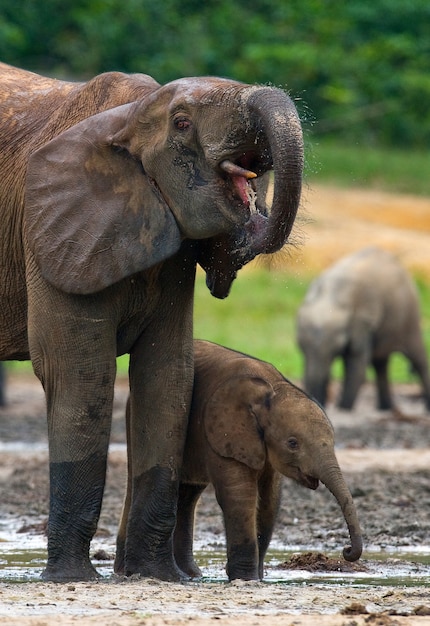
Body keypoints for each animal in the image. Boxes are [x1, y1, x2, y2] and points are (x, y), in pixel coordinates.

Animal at [0, 62, 304, 580]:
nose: (250, 221)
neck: (132, 115)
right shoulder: (50, 234)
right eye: (182, 123)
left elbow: (167, 375)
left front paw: (156, 575)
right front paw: (73, 578)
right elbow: (82, 376)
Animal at [115, 338, 362, 576]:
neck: (273, 388)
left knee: (188, 494)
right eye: (292, 443)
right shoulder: (224, 433)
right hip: (135, 415)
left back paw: (190, 574)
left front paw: (258, 577)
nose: (347, 551)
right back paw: (126, 571)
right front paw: (246, 577)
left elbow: (270, 500)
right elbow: (239, 495)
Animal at [296, 246, 430, 412]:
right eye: (300, 347)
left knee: (418, 359)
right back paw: (385, 408)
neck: (330, 296)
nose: (322, 404)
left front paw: (343, 409)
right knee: (380, 364)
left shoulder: (362, 321)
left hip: (409, 314)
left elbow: (357, 366)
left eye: (337, 346)